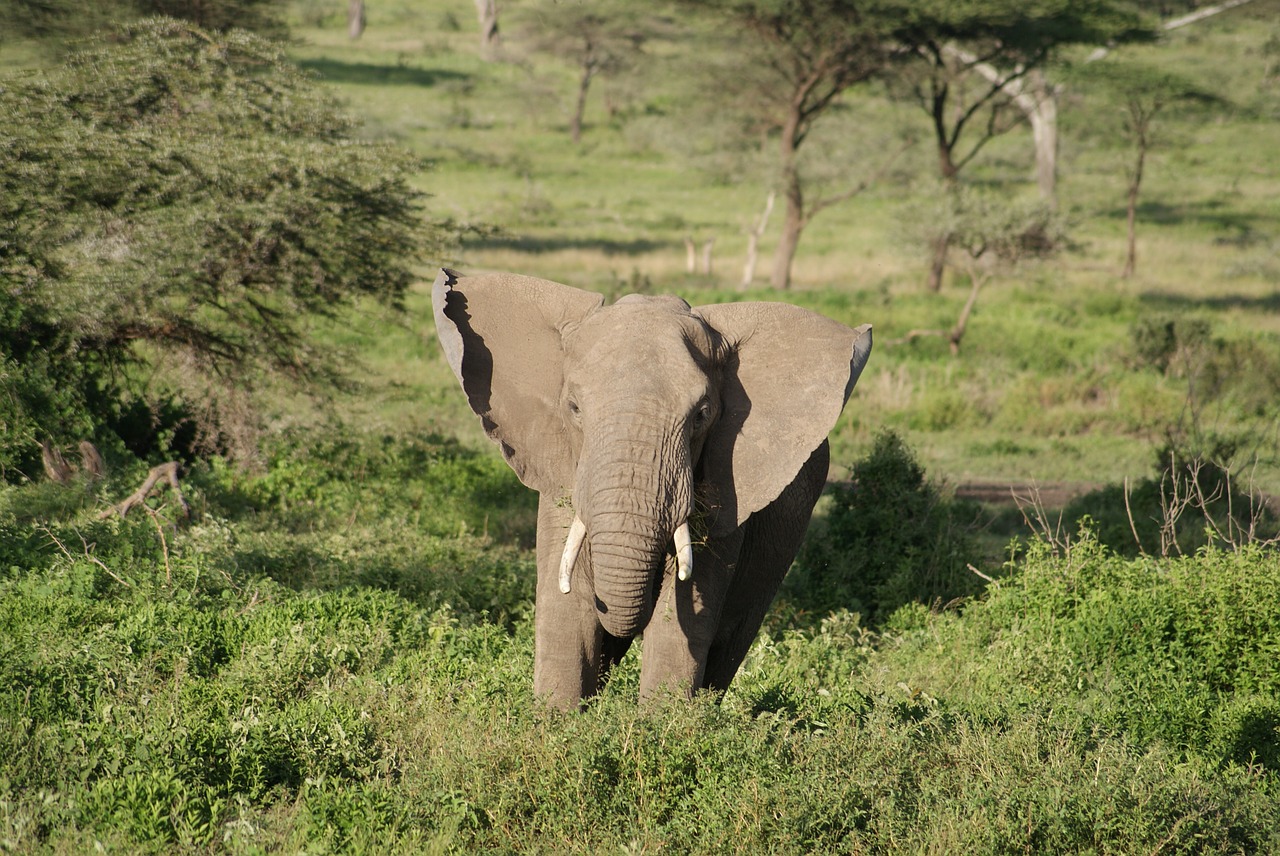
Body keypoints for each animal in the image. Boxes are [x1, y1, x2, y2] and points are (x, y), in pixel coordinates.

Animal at [430, 267, 870, 706]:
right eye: (573, 408)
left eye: (701, 415)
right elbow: (567, 605)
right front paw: (555, 718)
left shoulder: (728, 485)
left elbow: (685, 612)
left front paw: (664, 722)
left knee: (730, 641)